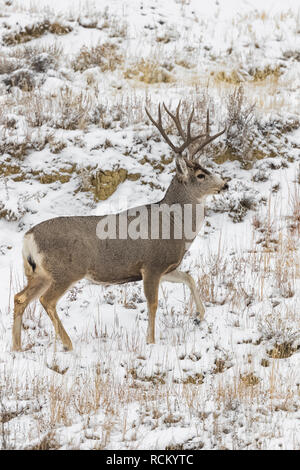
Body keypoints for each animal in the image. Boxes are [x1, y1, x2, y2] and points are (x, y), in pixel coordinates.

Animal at [11, 103, 227, 352]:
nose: (224, 184)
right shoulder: (151, 265)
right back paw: (68, 344)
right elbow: (153, 304)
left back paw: (17, 347)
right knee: (47, 301)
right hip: (66, 271)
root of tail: (28, 238)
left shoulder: (167, 268)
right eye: (201, 175)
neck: (176, 224)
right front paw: (151, 342)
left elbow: (189, 278)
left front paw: (199, 316)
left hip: (38, 273)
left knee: (19, 298)